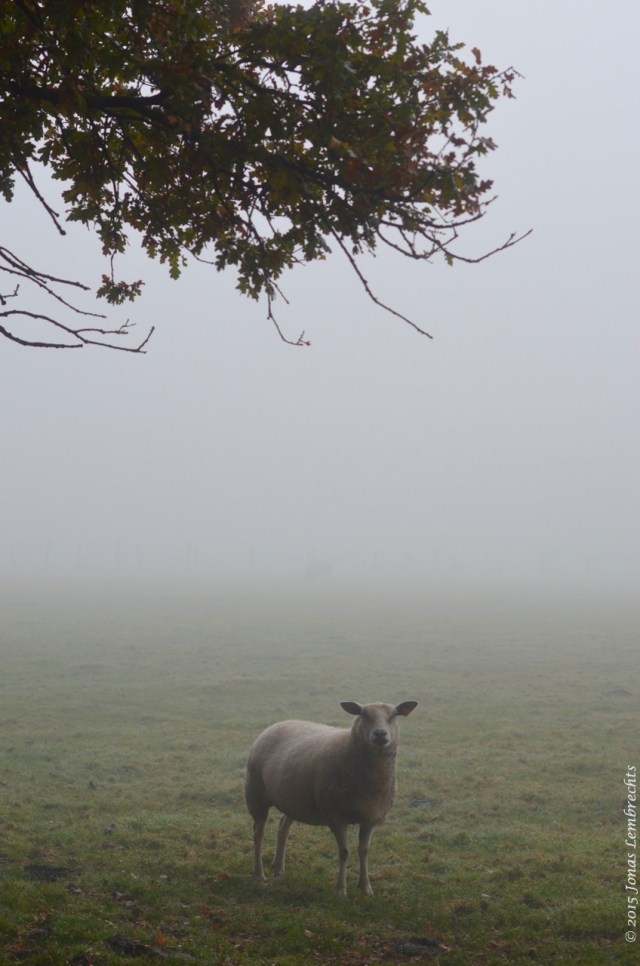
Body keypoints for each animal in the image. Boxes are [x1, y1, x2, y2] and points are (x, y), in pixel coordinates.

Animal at [244, 700, 418, 896]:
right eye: (363, 714)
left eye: (394, 715)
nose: (380, 734)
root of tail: (278, 723)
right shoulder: (336, 816)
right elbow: (344, 852)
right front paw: (340, 890)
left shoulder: (371, 817)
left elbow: (364, 851)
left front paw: (365, 887)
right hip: (255, 794)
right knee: (258, 834)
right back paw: (259, 874)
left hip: (293, 800)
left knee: (283, 828)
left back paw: (279, 869)